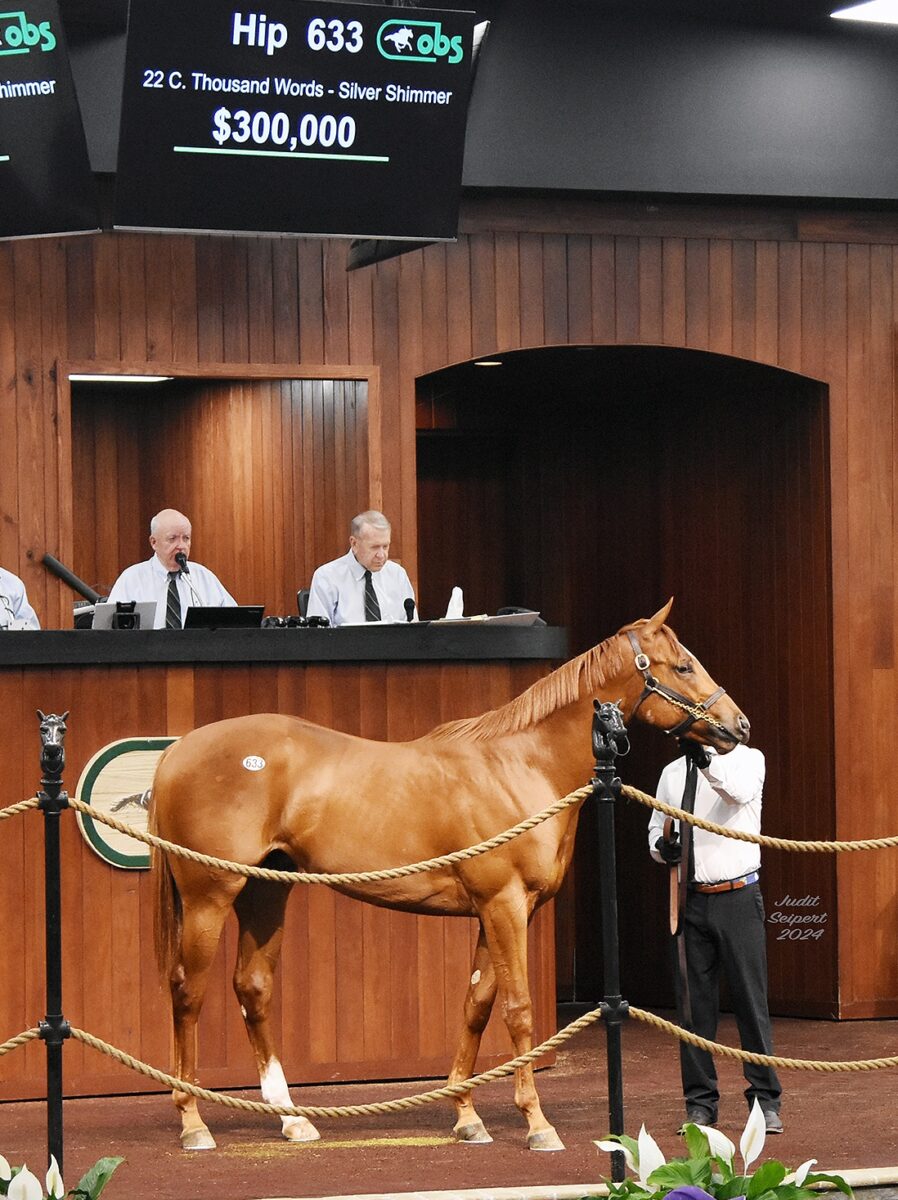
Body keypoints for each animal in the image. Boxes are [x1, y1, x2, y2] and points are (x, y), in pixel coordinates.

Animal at [150, 600, 749, 1152]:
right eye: (684, 666)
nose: (738, 726)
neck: (521, 765)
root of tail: (178, 751)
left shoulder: (493, 911)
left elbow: (476, 1004)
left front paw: (467, 1116)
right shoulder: (505, 906)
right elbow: (518, 1010)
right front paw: (537, 1123)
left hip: (264, 891)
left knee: (252, 987)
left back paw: (291, 1119)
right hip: (208, 896)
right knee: (187, 991)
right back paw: (193, 1122)